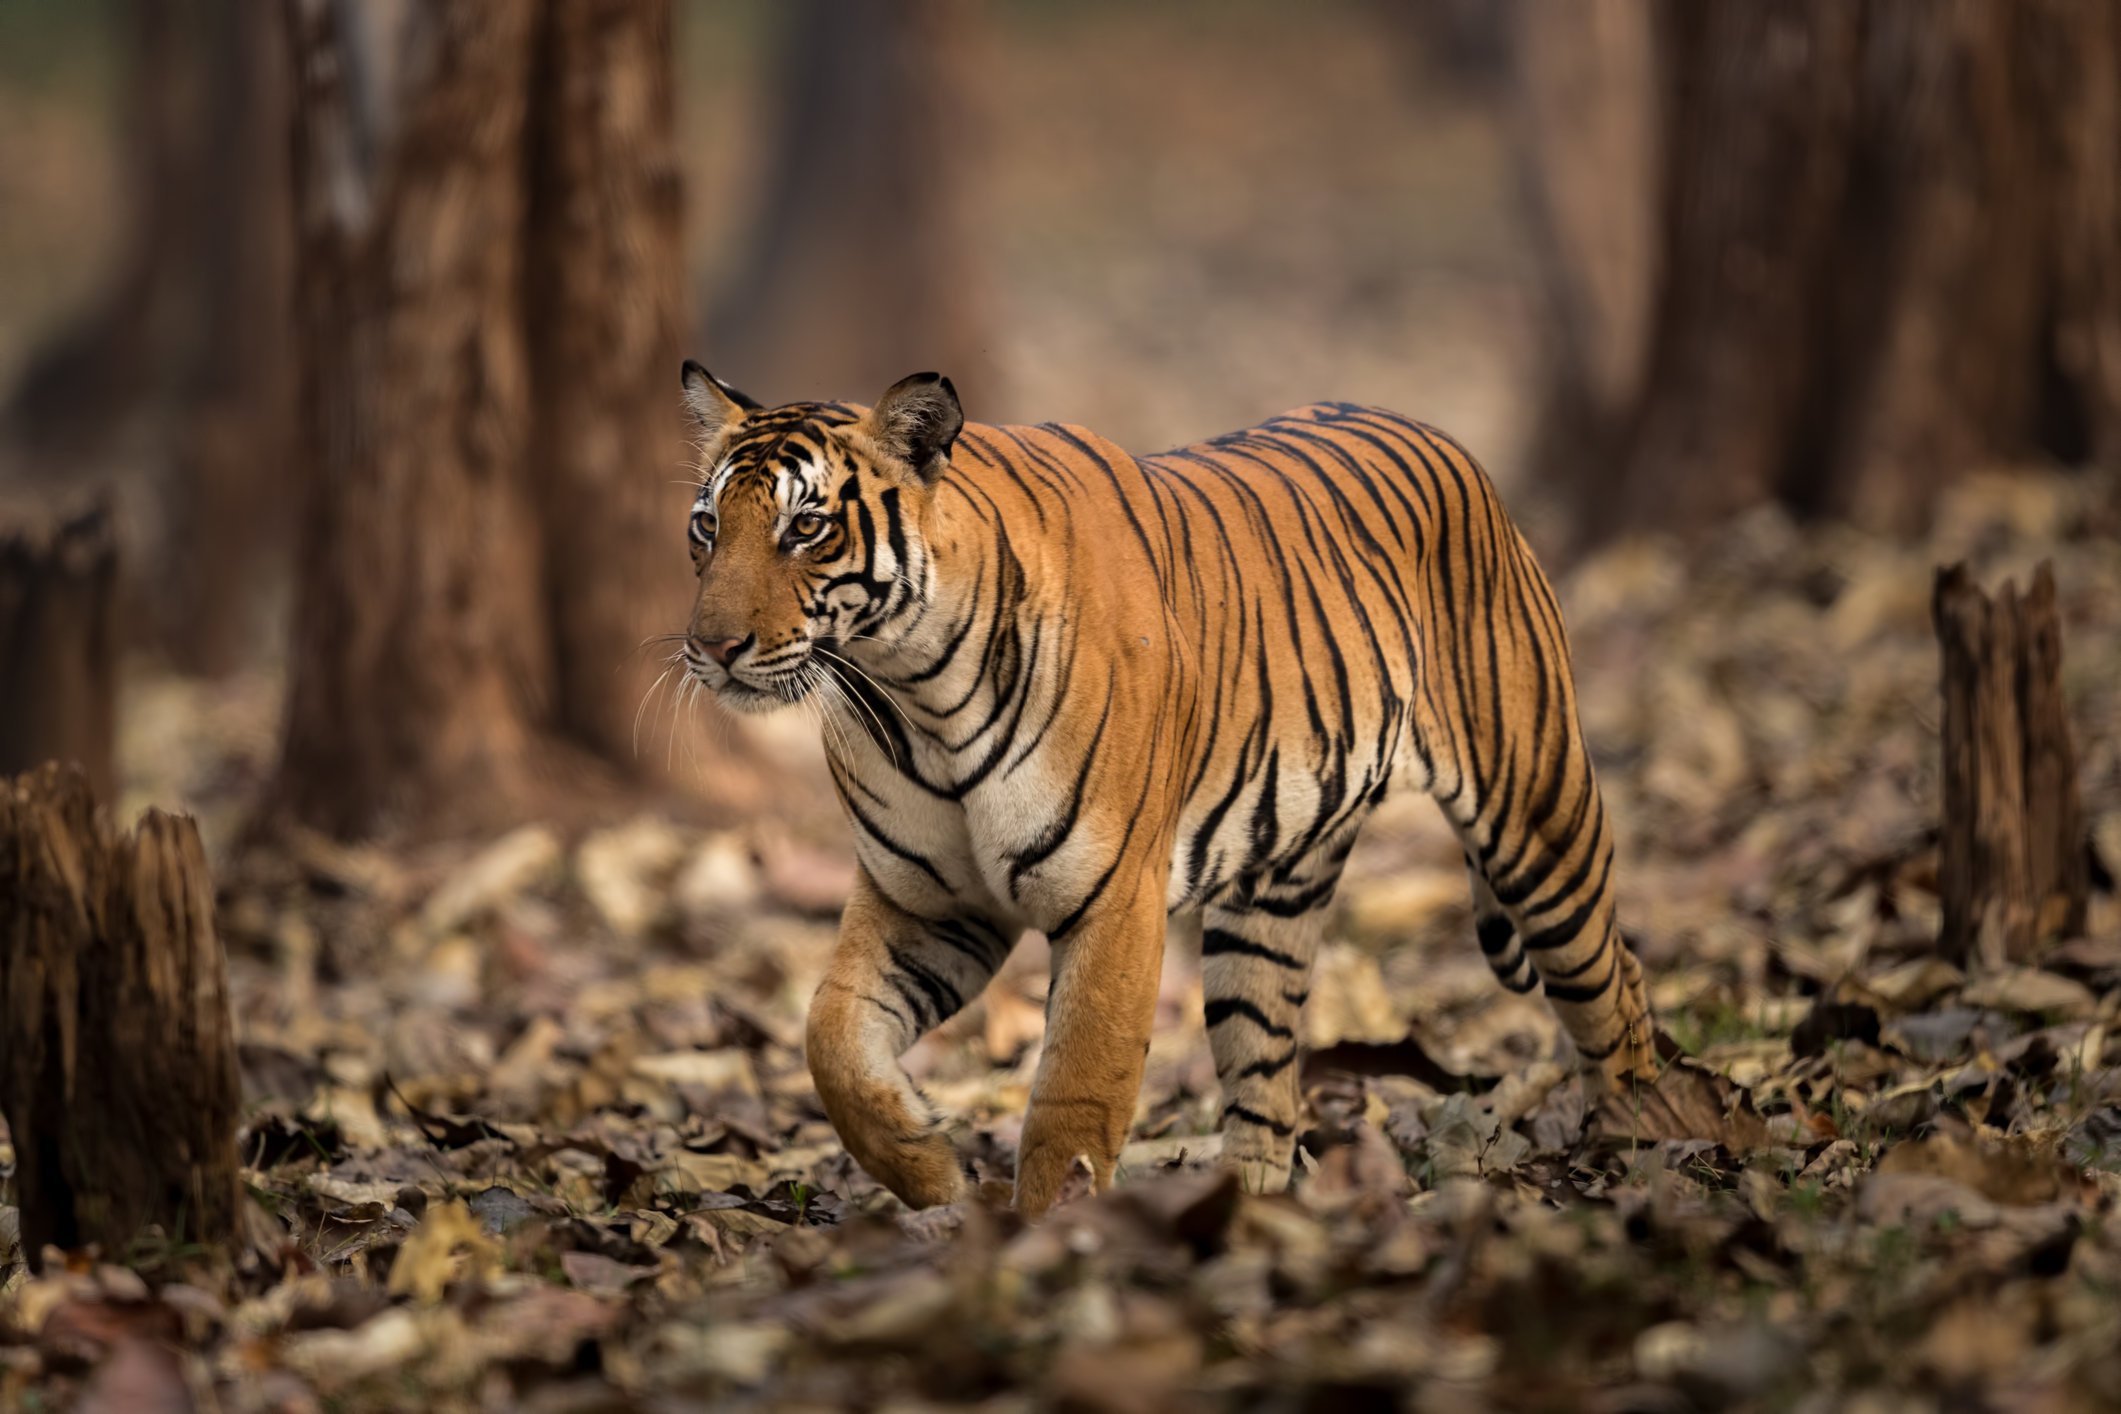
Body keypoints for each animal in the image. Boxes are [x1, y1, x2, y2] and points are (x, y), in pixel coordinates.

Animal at [678, 362, 1654, 1221]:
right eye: (705, 527)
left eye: (806, 528)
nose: (711, 647)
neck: (911, 691)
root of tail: (1443, 440)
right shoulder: (927, 902)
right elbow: (831, 1041)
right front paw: (931, 1167)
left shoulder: (1113, 901)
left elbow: (1075, 1098)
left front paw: (1046, 1236)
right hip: (1269, 906)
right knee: (1265, 1074)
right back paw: (1247, 1208)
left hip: (1538, 819)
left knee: (1616, 982)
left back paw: (1646, 1149)